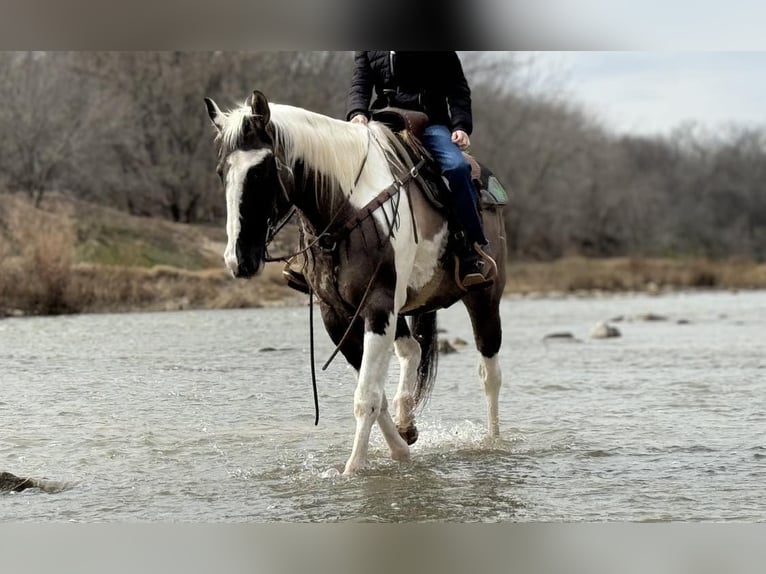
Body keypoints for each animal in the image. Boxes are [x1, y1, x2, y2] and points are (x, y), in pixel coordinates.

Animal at [204, 91, 508, 476]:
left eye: (260, 171)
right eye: (222, 172)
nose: (238, 260)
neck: (345, 208)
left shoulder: (377, 307)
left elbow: (366, 397)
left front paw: (353, 469)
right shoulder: (338, 315)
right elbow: (375, 393)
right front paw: (400, 450)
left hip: (483, 298)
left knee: (489, 373)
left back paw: (493, 441)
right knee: (413, 350)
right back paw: (407, 420)